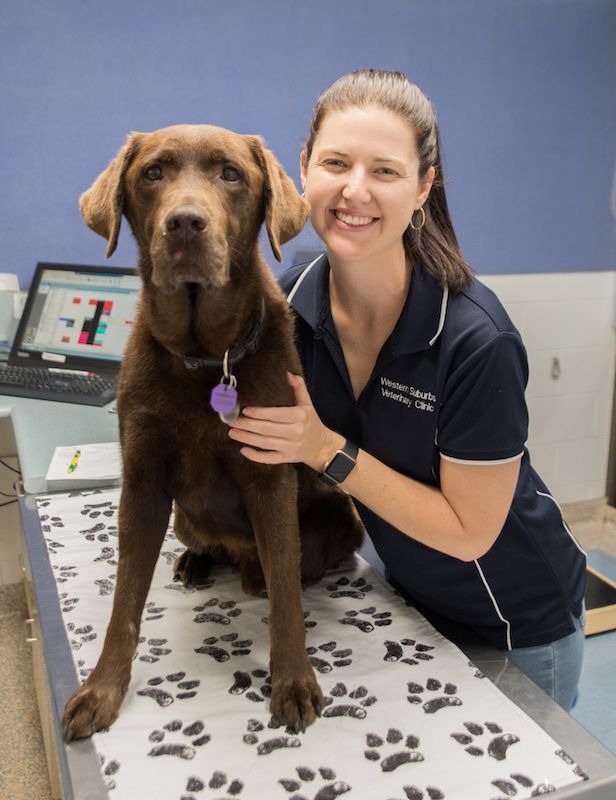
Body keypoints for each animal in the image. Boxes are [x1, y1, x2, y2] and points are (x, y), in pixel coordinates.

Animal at [60, 126, 364, 744]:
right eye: (153, 173)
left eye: (231, 174)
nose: (184, 223)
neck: (205, 359)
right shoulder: (143, 485)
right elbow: (125, 602)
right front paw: (102, 691)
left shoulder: (271, 478)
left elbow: (288, 598)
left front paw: (293, 683)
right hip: (183, 517)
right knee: (205, 546)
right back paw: (196, 563)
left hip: (339, 517)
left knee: (283, 568)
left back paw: (253, 575)